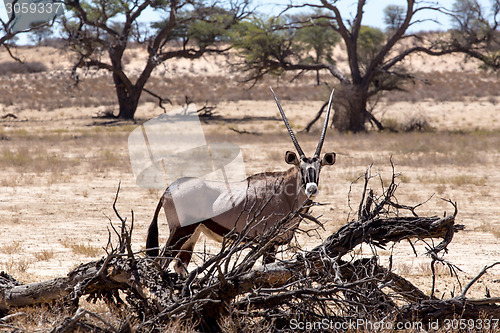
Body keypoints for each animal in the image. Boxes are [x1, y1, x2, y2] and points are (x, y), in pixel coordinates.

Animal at [146, 87, 338, 274]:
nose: (312, 188)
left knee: (179, 265)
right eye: (301, 168)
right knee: (160, 263)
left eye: (319, 167)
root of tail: (168, 191)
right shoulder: (268, 243)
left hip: (192, 235)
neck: (285, 194)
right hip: (180, 231)